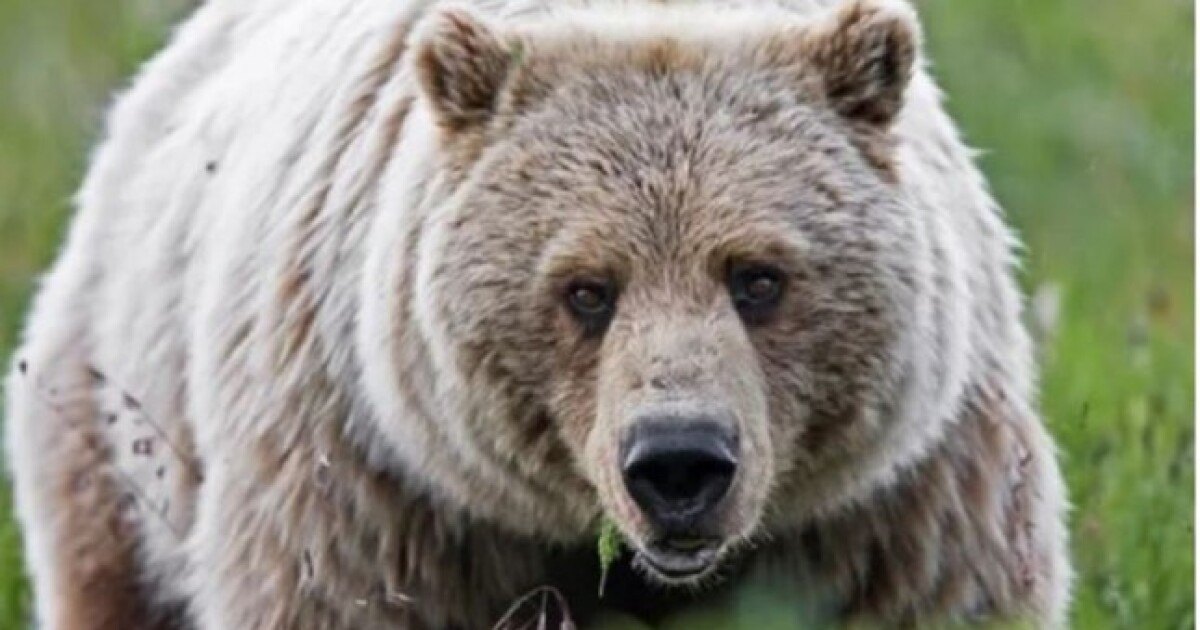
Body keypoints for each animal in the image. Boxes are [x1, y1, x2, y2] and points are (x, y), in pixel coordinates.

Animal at [0, 0, 1070, 624]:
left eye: (759, 277)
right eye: (585, 288)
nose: (679, 463)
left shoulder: (898, 507)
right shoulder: (376, 496)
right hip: (114, 424)